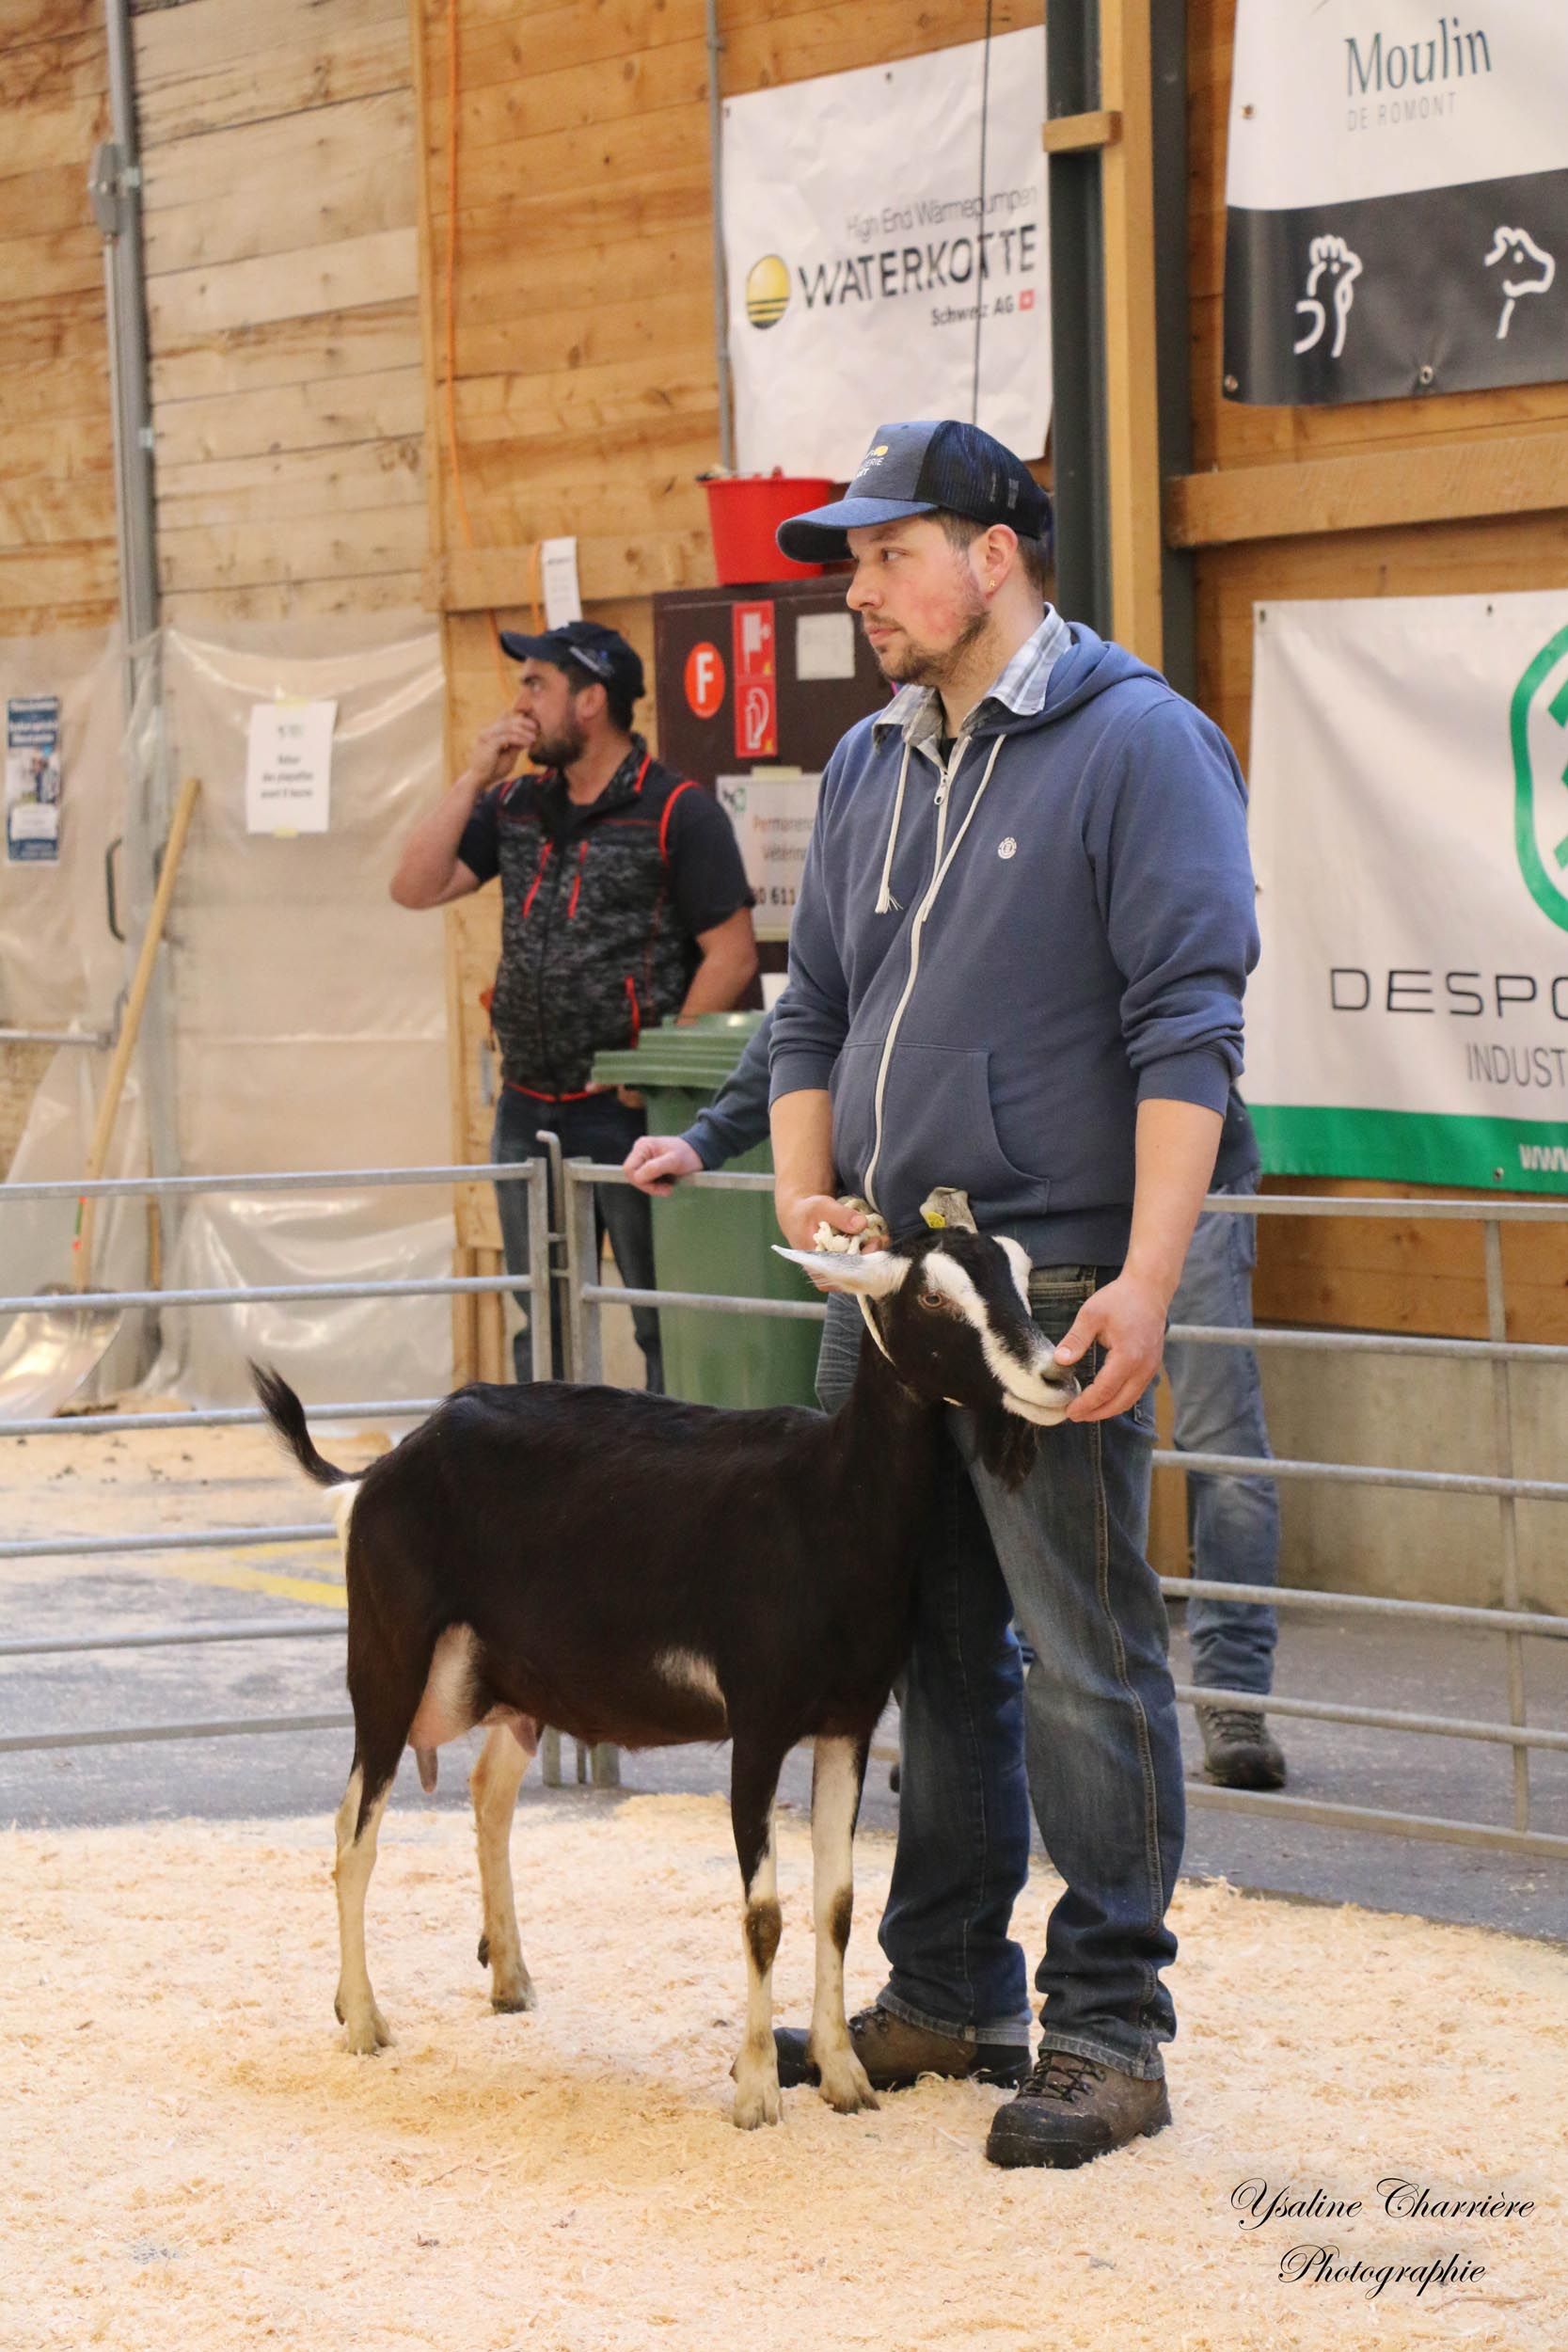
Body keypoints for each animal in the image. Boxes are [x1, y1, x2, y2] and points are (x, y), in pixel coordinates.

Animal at [253, 1220, 1076, 2129]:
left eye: (1022, 1274)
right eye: (931, 1296)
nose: (1058, 1376)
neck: (824, 1503)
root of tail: (376, 1472)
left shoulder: (848, 1724)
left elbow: (836, 1906)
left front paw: (843, 2077)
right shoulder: (758, 1722)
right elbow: (763, 1914)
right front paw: (755, 2093)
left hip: (511, 1682)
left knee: (487, 1796)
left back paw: (509, 1978)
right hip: (388, 1658)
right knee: (352, 1834)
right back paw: (364, 2021)